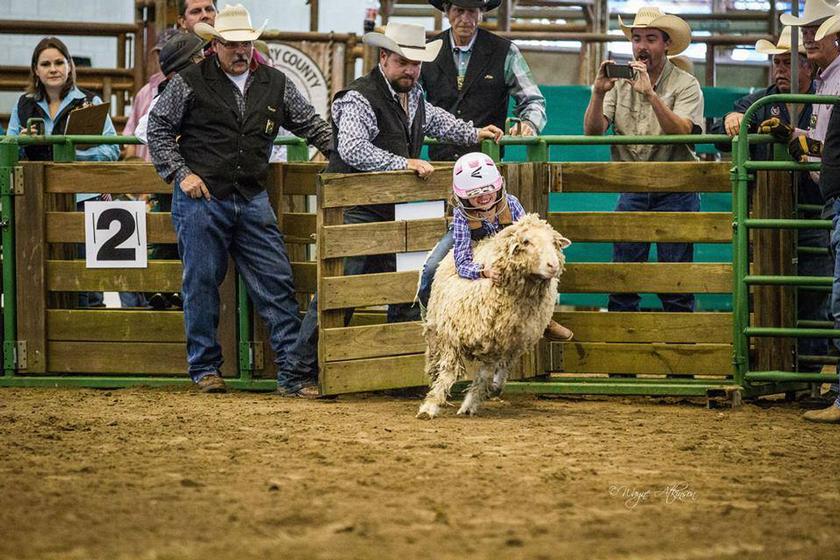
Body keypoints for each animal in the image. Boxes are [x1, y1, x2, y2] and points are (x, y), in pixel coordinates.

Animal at [416, 214, 568, 420]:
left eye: (554, 243)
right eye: (526, 241)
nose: (553, 266)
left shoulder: (499, 346)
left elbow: (485, 377)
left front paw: (470, 404)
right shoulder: (452, 337)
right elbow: (448, 373)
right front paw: (430, 406)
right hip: (434, 329)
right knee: (434, 358)